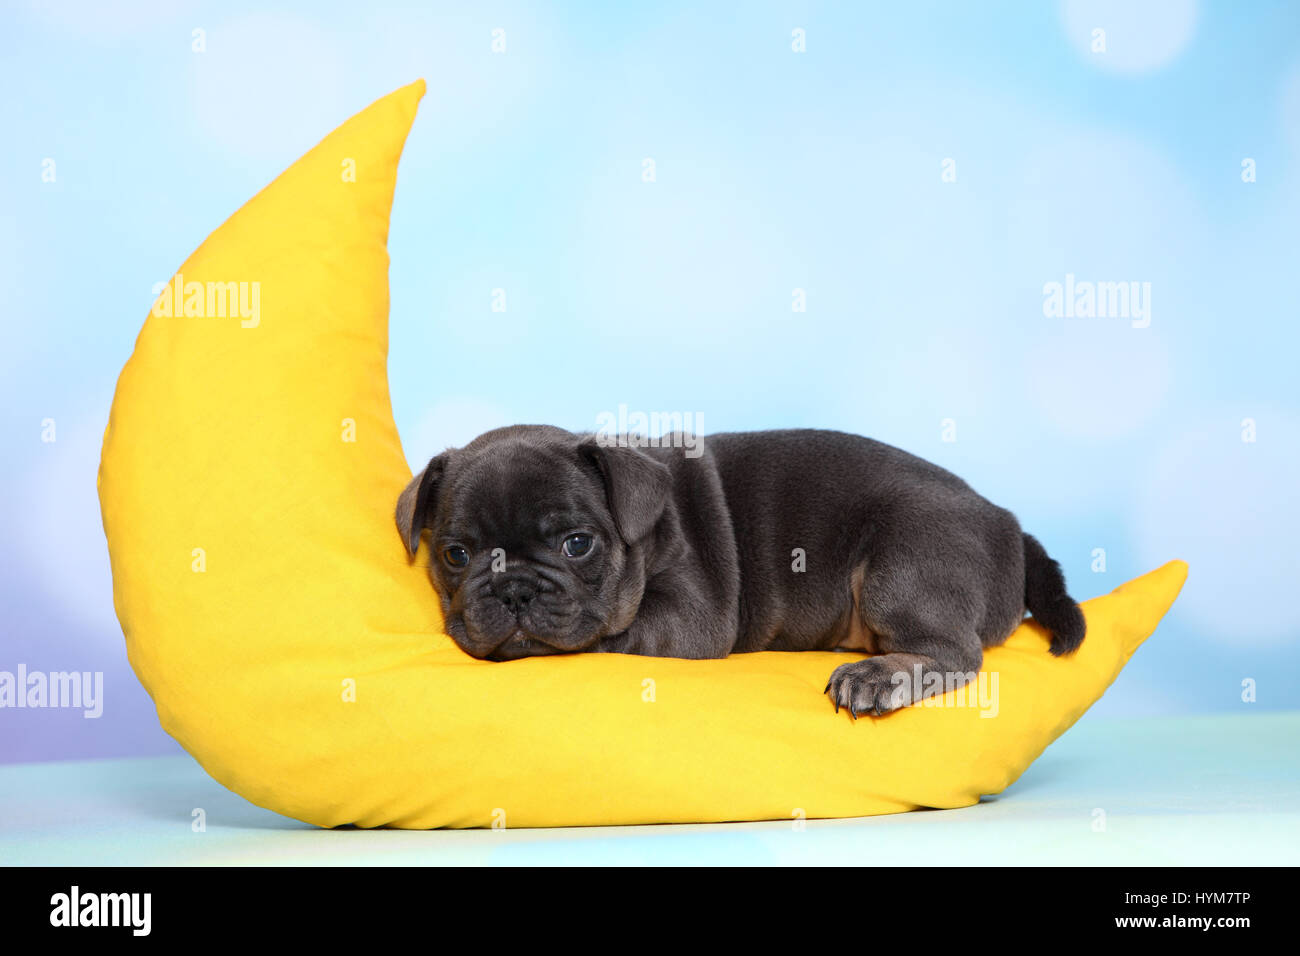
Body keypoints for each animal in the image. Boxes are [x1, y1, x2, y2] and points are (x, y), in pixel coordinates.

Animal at [397, 426, 1086, 717]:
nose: (512, 589)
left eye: (577, 545)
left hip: (904, 562)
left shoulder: (689, 615)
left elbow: (619, 633)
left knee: (954, 653)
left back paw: (877, 675)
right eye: (455, 555)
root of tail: (1007, 525)